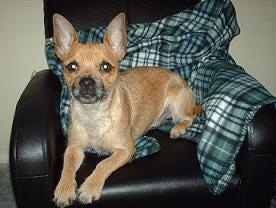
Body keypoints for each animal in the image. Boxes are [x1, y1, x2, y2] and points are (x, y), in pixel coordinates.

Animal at [52, 12, 201, 206]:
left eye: (106, 67)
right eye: (72, 67)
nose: (86, 82)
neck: (94, 114)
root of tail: (182, 81)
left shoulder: (126, 150)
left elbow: (103, 164)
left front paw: (90, 187)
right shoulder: (73, 147)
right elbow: (67, 166)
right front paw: (64, 189)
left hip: (177, 104)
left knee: (189, 118)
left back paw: (178, 128)